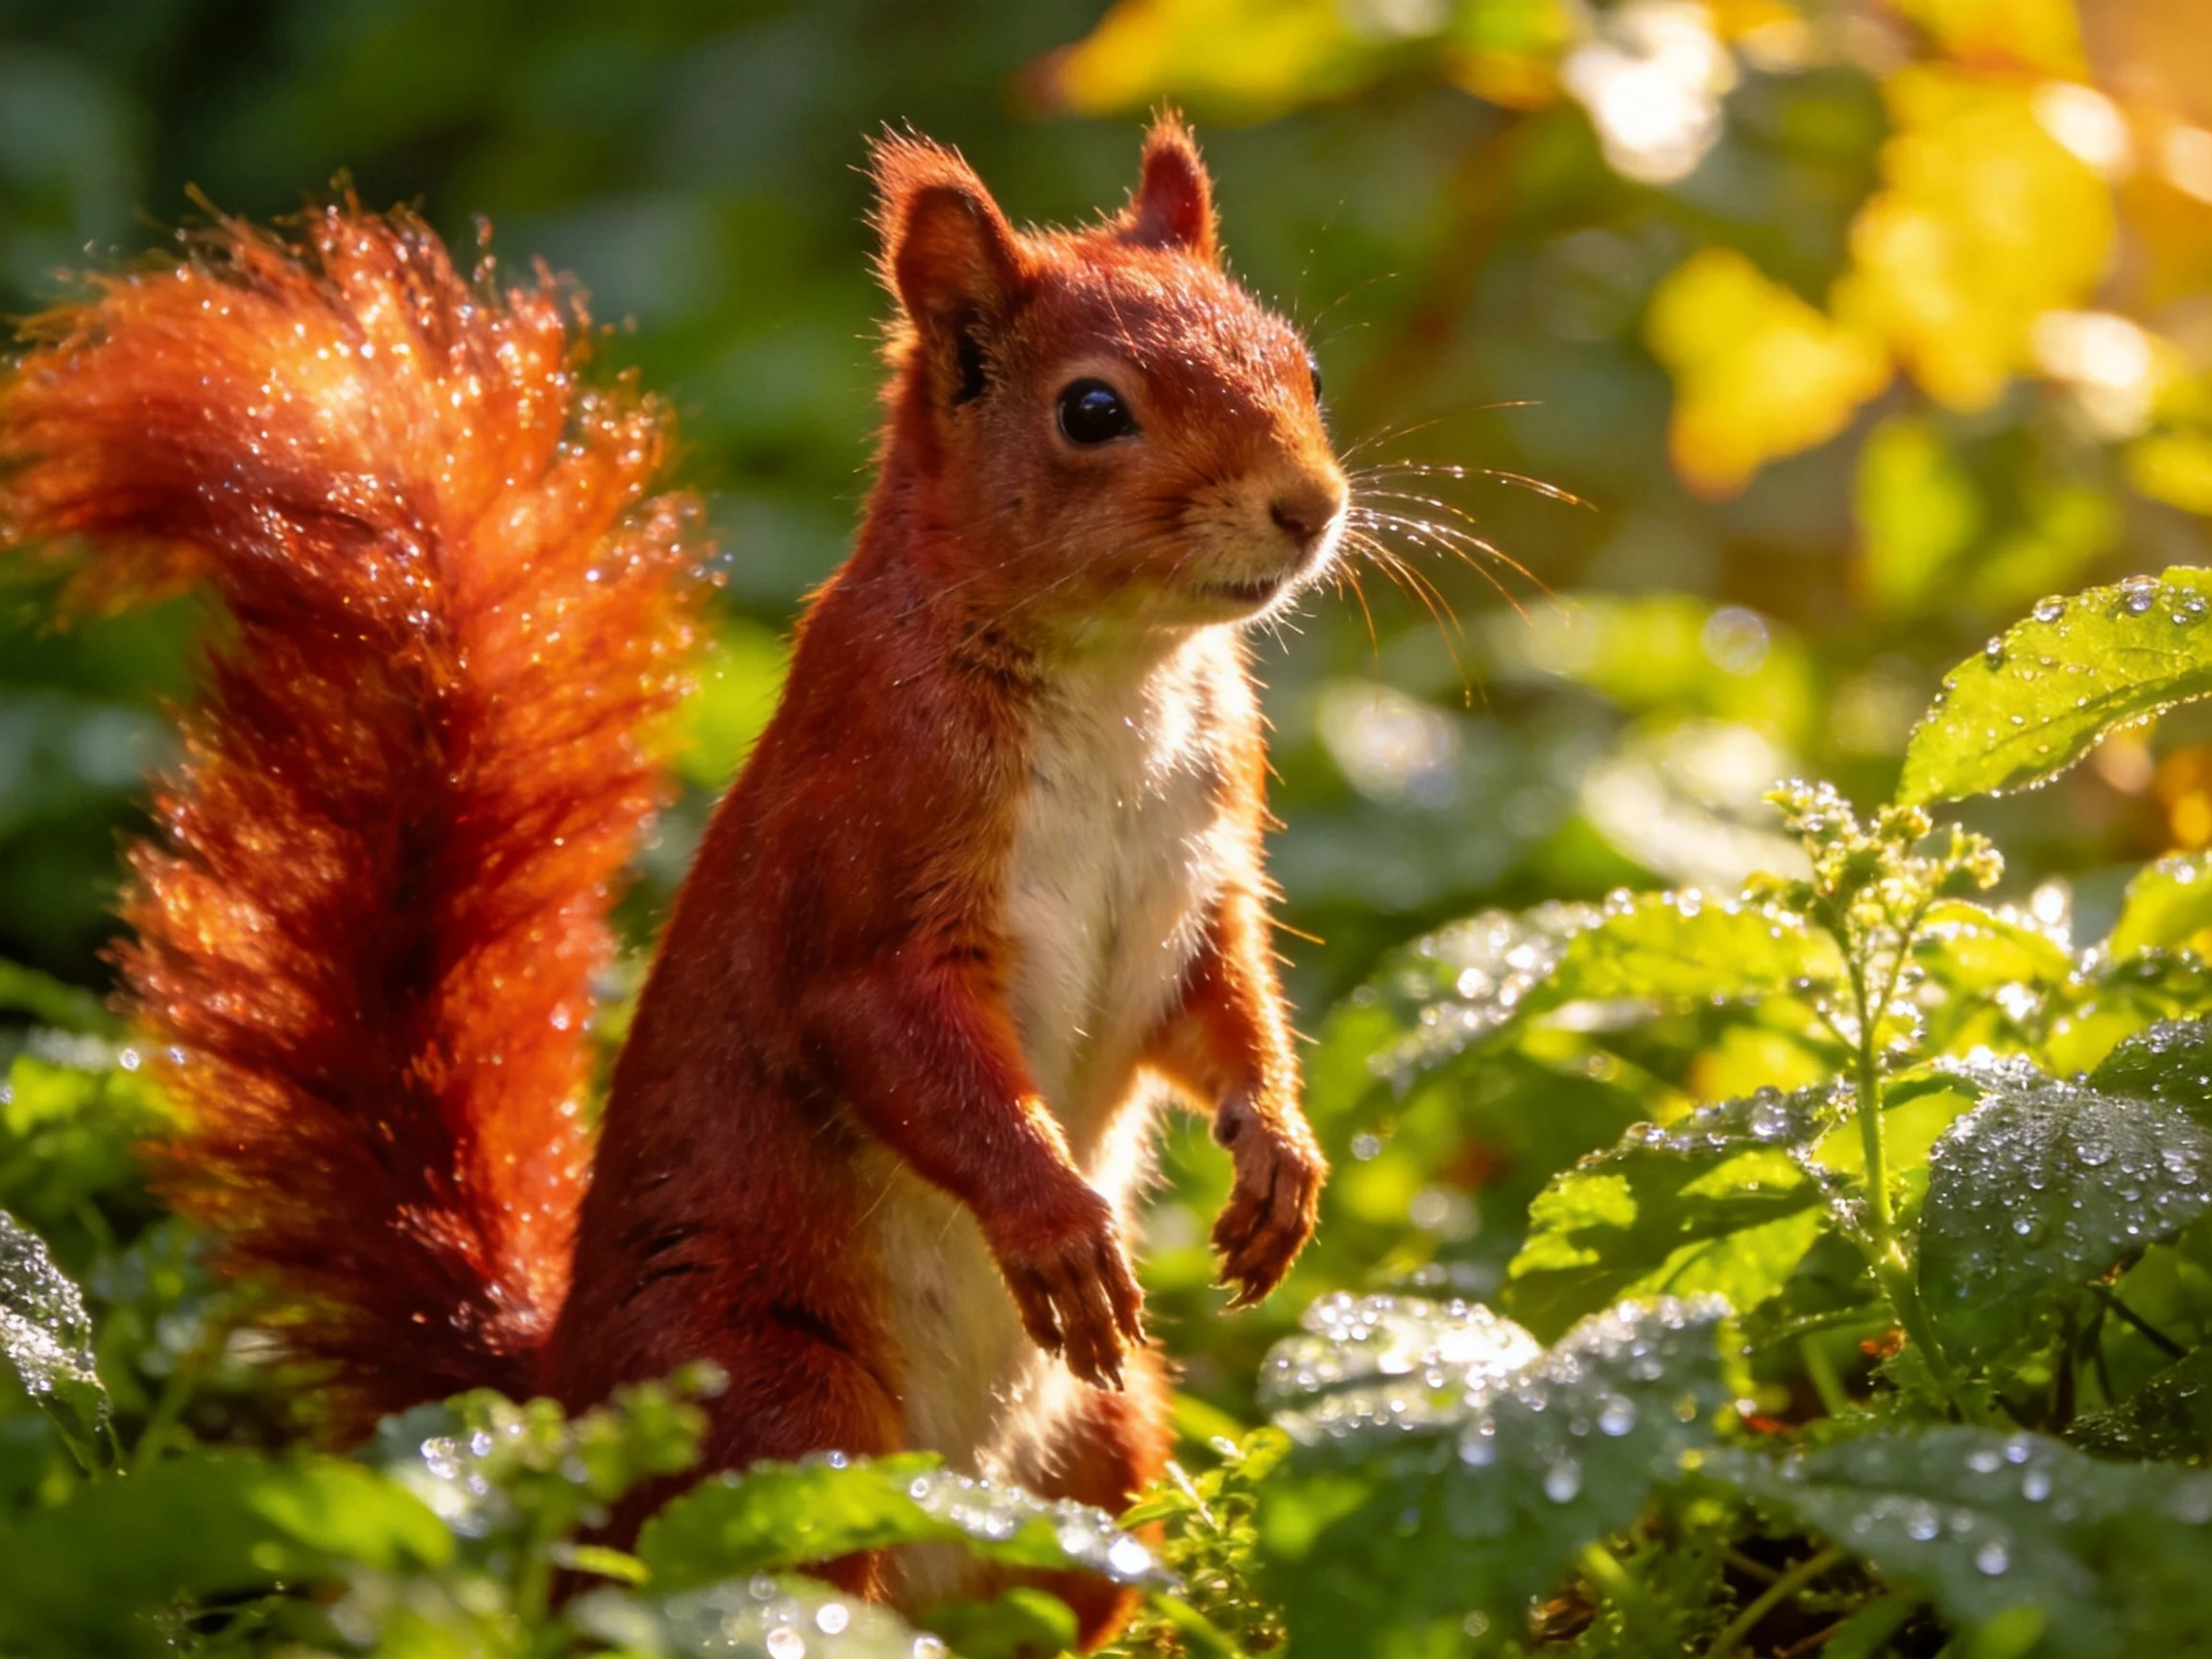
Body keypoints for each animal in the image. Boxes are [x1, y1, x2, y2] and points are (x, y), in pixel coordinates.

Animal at [0, 115, 1340, 1641]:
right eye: (1095, 412)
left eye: (1304, 365)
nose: (1310, 507)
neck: (1120, 673)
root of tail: (563, 1412)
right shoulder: (868, 847)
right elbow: (899, 1040)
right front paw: (1057, 1223)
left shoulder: (1202, 870)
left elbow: (1223, 1008)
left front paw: (1281, 1158)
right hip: (780, 1416)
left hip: (1098, 1463)